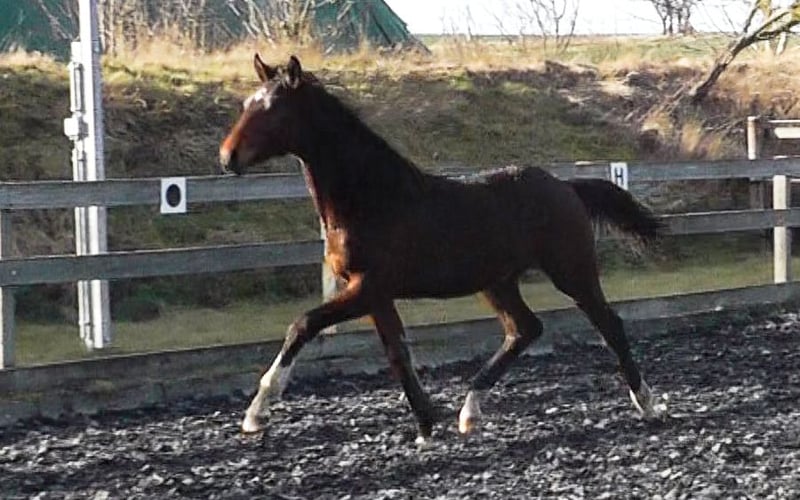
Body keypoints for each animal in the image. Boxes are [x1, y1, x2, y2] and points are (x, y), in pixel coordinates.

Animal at [219, 54, 666, 446]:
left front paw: (256, 413)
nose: (227, 157)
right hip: (498, 282)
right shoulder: (376, 295)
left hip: (571, 270)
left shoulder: (367, 287)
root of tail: (567, 186)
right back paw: (469, 412)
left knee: (609, 324)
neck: (373, 199)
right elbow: (397, 354)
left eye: (273, 110)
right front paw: (426, 426)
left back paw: (646, 402)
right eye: (246, 105)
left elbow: (304, 324)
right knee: (525, 329)